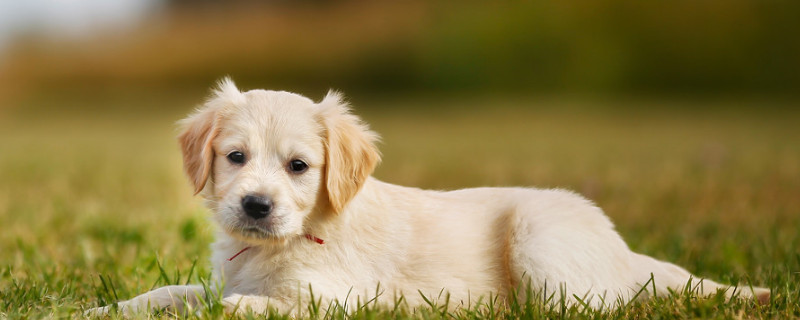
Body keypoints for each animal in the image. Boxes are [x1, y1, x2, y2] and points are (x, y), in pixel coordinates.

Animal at [87, 79, 768, 316]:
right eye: (235, 158)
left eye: (299, 167)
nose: (256, 206)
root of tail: (623, 251)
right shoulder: (219, 277)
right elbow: (171, 294)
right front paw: (107, 309)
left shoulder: (336, 297)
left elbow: (256, 307)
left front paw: (236, 310)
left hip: (540, 239)